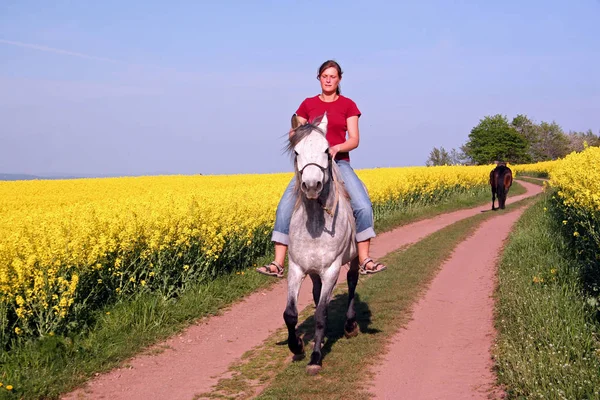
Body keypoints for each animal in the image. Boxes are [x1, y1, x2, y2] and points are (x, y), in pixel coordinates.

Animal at [282, 112, 358, 376]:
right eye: (296, 152)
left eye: (327, 150)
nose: (312, 185)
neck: (315, 224)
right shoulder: (296, 268)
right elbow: (290, 314)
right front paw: (297, 346)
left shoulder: (331, 270)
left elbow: (321, 315)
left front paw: (315, 358)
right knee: (316, 293)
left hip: (353, 258)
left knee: (353, 282)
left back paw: (350, 325)